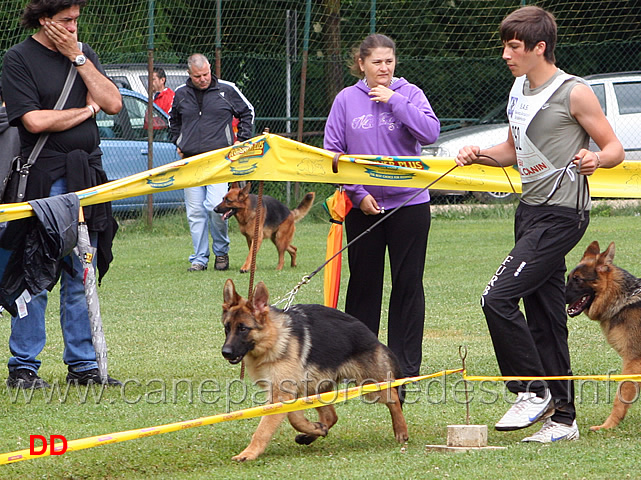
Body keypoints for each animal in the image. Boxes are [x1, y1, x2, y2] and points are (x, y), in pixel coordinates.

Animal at [220, 280, 410, 464]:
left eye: (243, 328)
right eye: (227, 328)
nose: (225, 352)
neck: (274, 339)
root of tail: (373, 338)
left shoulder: (281, 395)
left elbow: (264, 428)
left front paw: (249, 453)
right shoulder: (288, 393)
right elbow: (295, 418)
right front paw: (314, 428)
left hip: (369, 386)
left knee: (393, 396)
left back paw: (401, 430)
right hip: (316, 388)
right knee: (331, 416)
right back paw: (312, 434)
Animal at [564, 240, 640, 432]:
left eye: (577, 279)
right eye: (569, 277)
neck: (623, 299)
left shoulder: (633, 361)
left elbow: (620, 397)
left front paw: (608, 425)